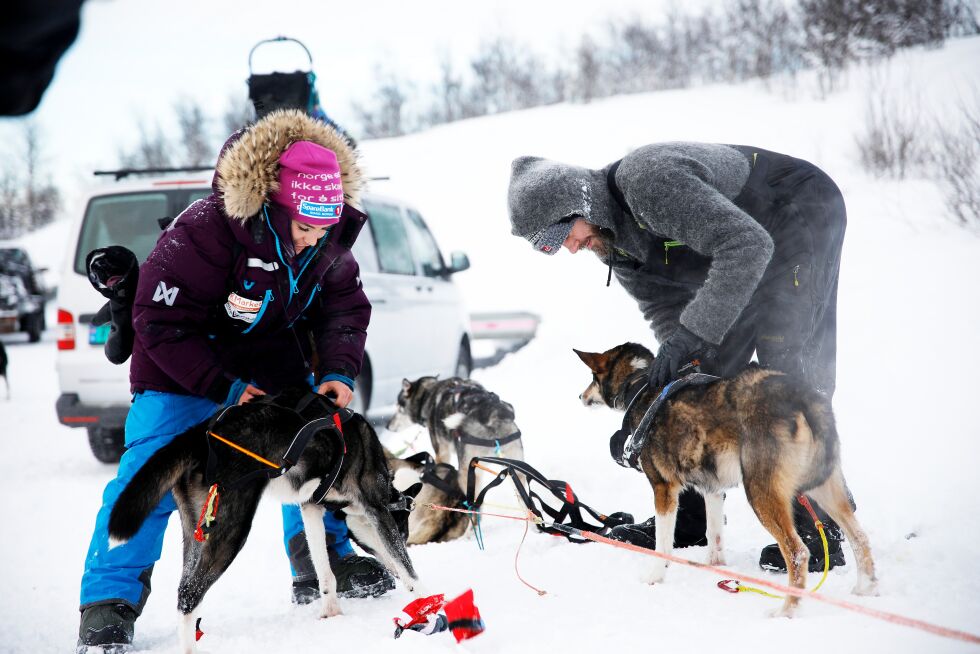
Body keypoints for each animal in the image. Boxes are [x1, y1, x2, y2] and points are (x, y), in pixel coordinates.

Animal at [108, 392, 422, 652]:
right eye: (404, 532)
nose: (404, 537)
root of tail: (200, 434)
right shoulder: (376, 508)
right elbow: (407, 567)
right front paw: (424, 604)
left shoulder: (311, 509)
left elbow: (325, 572)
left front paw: (331, 613)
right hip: (231, 528)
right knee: (189, 595)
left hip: (196, 530)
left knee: (184, 590)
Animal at [386, 374, 524, 492]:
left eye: (398, 407)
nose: (387, 426)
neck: (428, 394)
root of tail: (492, 417)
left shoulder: (442, 454)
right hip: (516, 471)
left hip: (467, 475)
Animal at [576, 344, 880, 620]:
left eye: (592, 377)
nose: (580, 395)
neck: (640, 384)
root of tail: (800, 398)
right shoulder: (713, 487)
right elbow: (714, 531)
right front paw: (715, 564)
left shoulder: (663, 487)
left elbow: (663, 544)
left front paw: (654, 575)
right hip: (825, 487)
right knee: (859, 537)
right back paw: (865, 590)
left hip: (761, 493)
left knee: (798, 552)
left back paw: (787, 610)